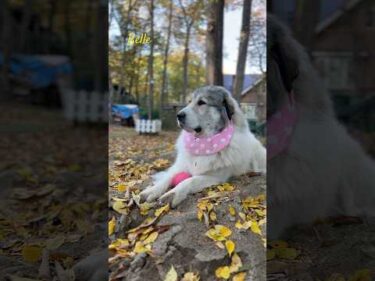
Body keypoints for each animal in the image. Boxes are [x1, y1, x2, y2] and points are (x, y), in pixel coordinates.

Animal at [140, 85, 268, 206]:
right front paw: (152, 190)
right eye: (189, 101)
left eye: (201, 102)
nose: (178, 115)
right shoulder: (181, 166)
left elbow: (189, 181)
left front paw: (173, 193)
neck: (202, 143)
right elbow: (168, 177)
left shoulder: (214, 177)